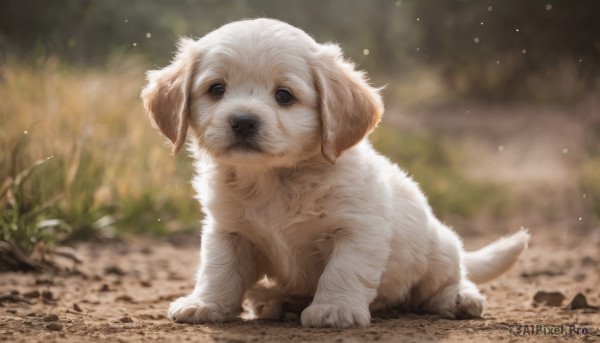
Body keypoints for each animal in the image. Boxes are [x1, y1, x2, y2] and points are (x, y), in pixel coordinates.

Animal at [142, 18, 528, 328]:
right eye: (216, 89)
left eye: (284, 95)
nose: (243, 121)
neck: (274, 180)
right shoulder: (227, 231)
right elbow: (218, 270)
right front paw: (205, 304)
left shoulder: (357, 229)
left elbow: (343, 270)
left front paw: (333, 309)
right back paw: (276, 302)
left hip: (439, 252)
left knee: (450, 279)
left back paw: (460, 299)